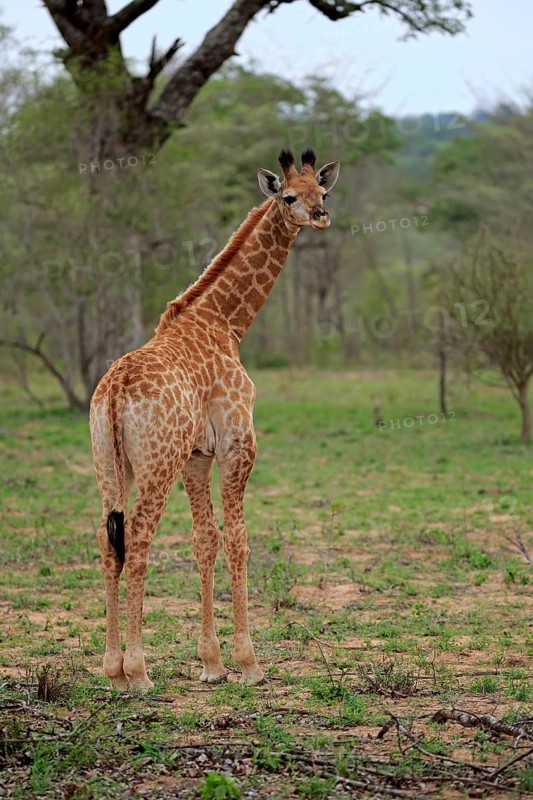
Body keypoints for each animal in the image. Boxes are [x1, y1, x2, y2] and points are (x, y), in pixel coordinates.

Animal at [89, 148, 340, 690]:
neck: (227, 323)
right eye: (289, 197)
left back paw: (112, 670)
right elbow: (239, 540)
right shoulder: (236, 444)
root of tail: (114, 389)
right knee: (137, 534)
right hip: (156, 463)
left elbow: (205, 540)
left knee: (106, 537)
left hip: (110, 463)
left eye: (322, 190)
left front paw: (211, 664)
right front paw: (249, 664)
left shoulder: (197, 457)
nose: (320, 216)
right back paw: (138, 672)